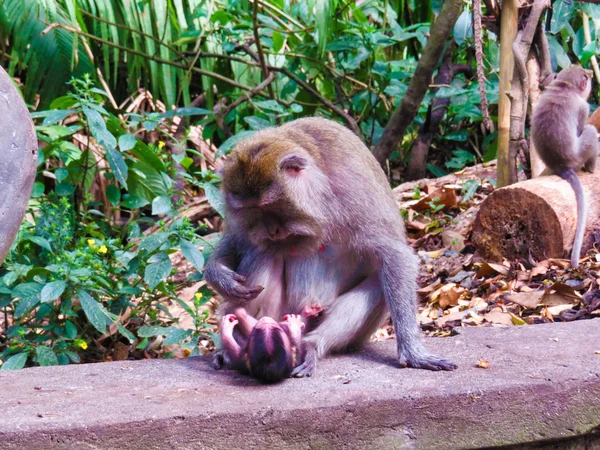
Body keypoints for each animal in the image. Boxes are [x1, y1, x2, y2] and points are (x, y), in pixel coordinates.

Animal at [204, 117, 458, 376]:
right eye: (252, 212)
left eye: (269, 207)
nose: (271, 231)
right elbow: (238, 240)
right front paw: (218, 275)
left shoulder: (354, 188)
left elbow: (394, 255)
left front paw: (412, 351)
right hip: (278, 312)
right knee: (264, 251)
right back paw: (241, 338)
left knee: (379, 282)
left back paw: (309, 345)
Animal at [532, 65, 596, 268]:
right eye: (586, 77)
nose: (591, 74)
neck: (564, 86)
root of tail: (560, 164)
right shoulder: (584, 107)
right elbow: (583, 127)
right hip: (580, 154)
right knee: (590, 131)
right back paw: (592, 167)